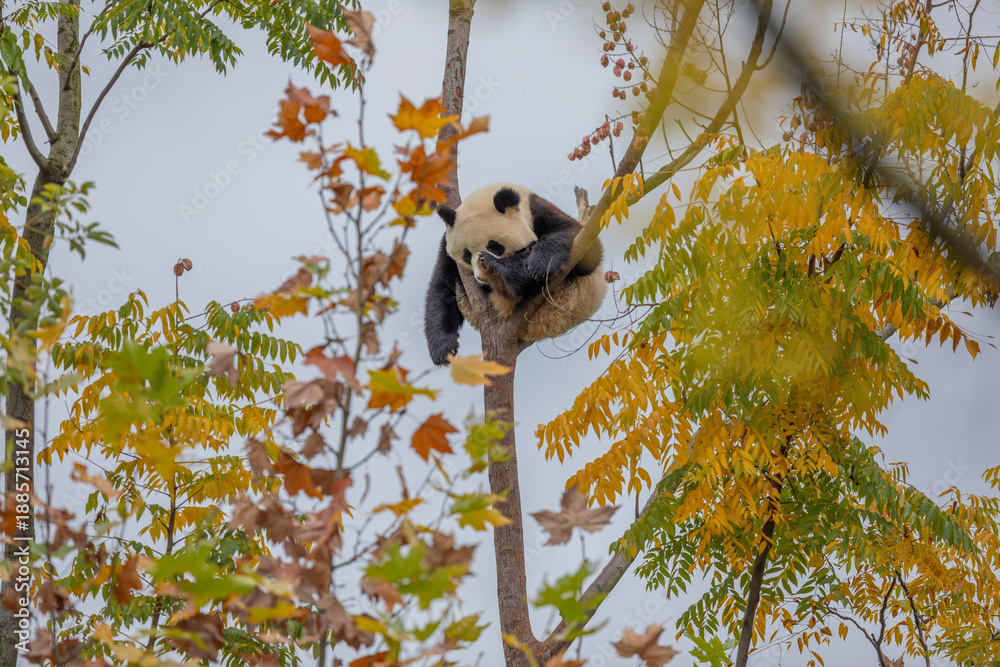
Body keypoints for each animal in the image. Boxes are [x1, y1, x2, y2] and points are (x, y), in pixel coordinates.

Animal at [424, 182, 607, 365]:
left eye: (493, 245)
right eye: (466, 253)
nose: (481, 278)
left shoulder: (539, 211)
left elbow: (586, 250)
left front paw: (538, 263)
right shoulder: (446, 248)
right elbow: (441, 288)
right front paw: (444, 349)